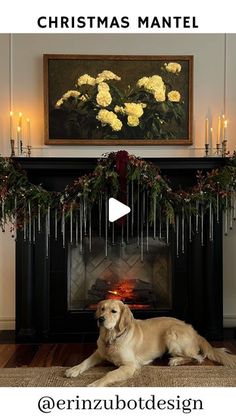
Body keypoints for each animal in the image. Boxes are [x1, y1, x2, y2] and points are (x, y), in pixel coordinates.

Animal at [65, 298, 236, 388]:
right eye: (102, 309)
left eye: (113, 311)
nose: (100, 319)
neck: (112, 337)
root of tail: (194, 330)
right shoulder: (99, 352)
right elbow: (85, 362)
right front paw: (73, 369)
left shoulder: (130, 366)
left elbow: (109, 374)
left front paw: (94, 384)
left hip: (171, 334)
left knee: (198, 357)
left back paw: (176, 360)